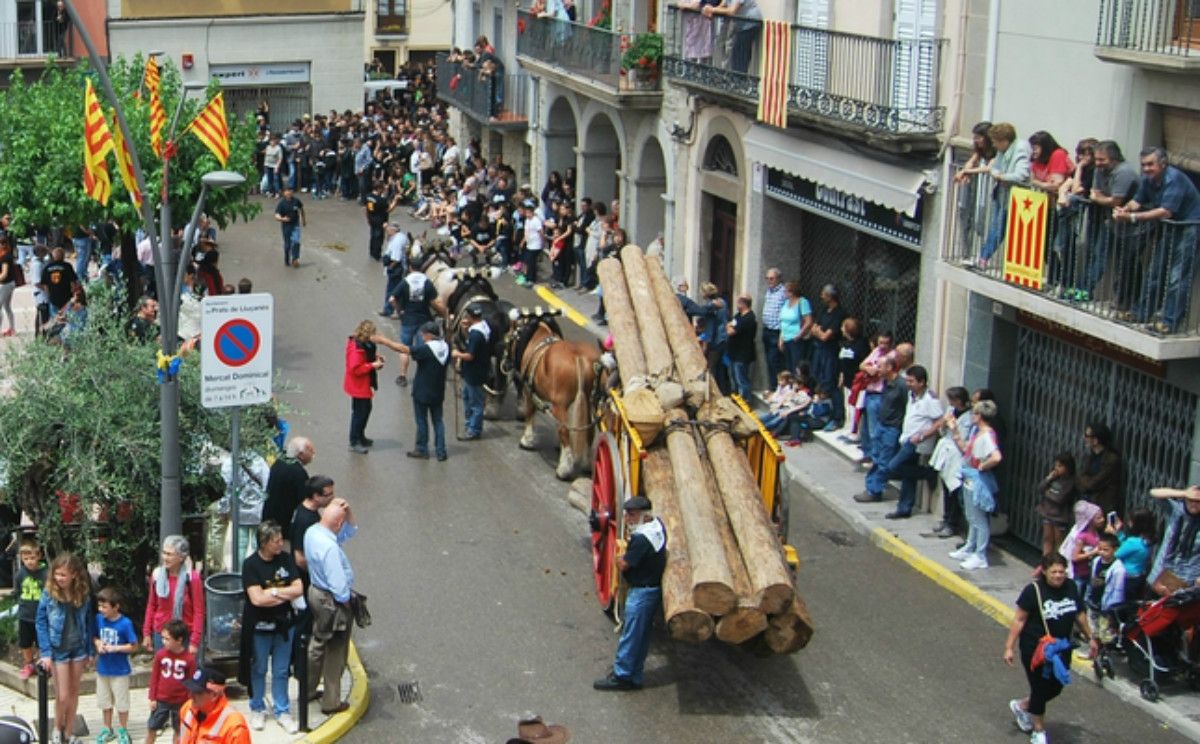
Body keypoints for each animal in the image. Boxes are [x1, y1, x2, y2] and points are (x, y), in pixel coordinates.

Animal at [504, 312, 600, 480]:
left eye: (511, 334)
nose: (507, 362)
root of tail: (579, 358)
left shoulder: (529, 390)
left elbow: (530, 413)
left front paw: (527, 440)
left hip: (560, 404)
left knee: (564, 429)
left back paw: (564, 469)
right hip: (589, 403)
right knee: (588, 431)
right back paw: (587, 464)